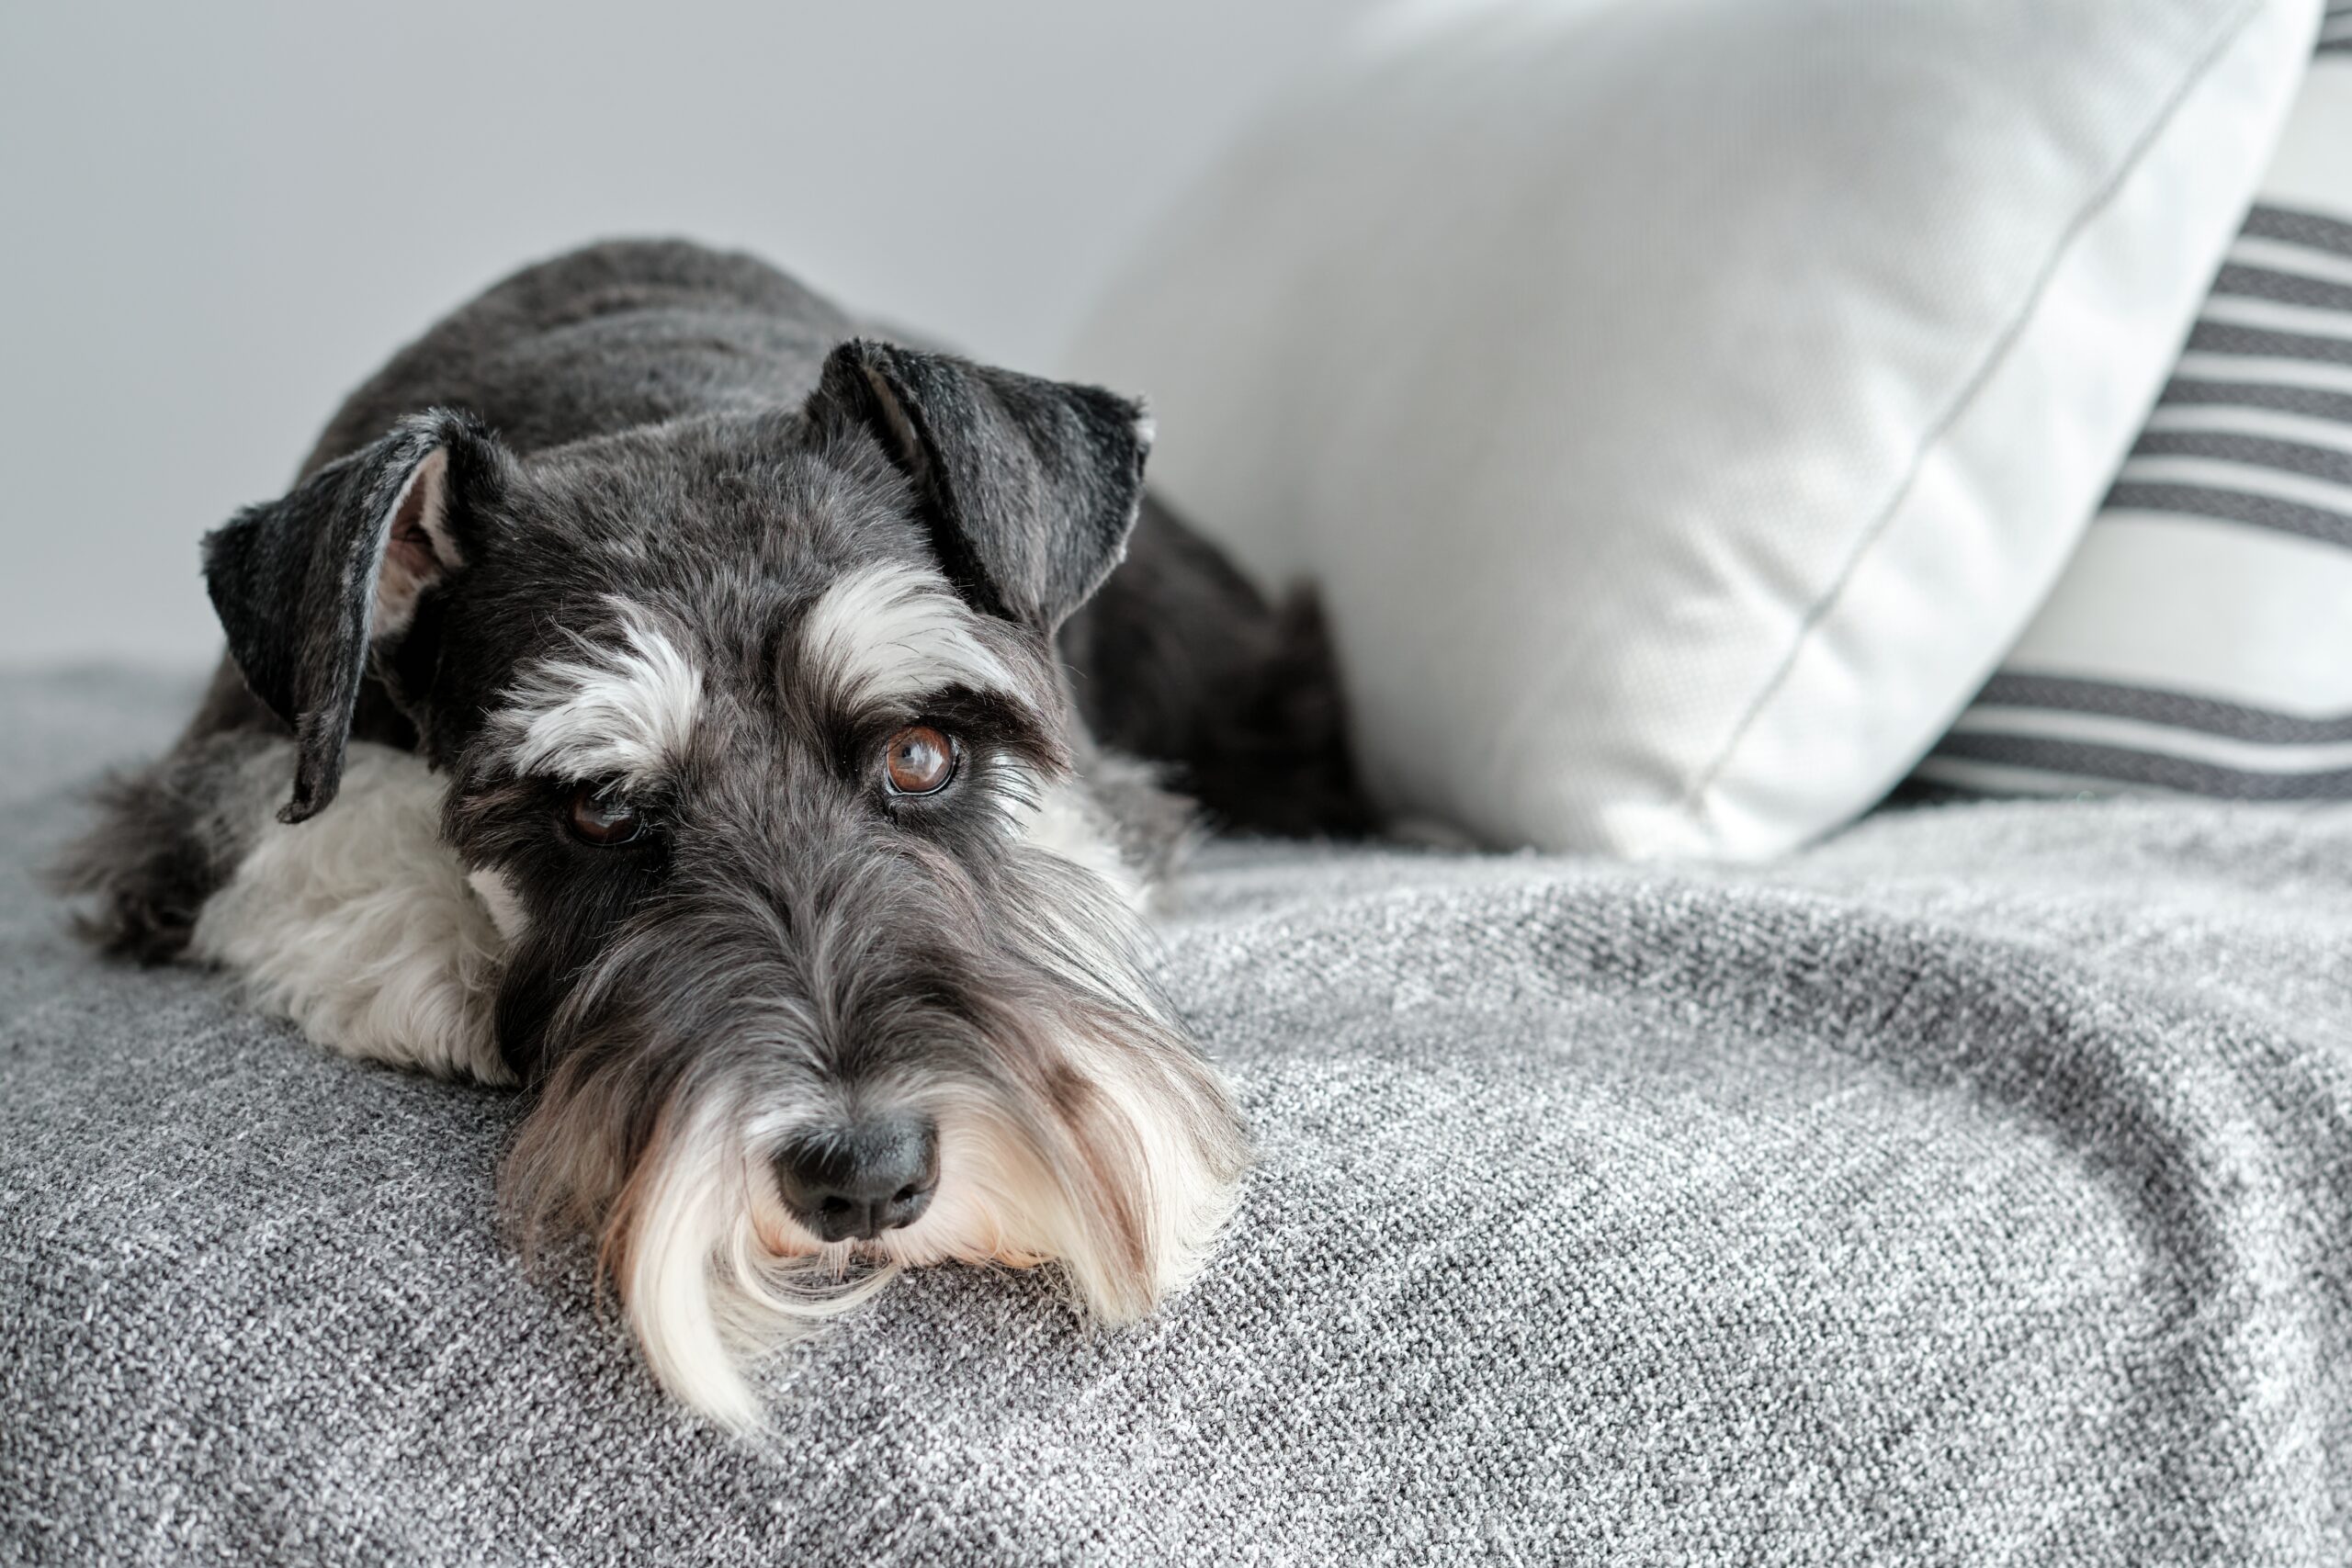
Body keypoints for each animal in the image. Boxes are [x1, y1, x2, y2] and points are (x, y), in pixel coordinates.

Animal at [59, 240, 1363, 1429]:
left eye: (921, 754)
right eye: (598, 805)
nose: (864, 1181)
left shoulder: (1105, 802)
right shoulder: (209, 790)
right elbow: (330, 834)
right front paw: (449, 970)